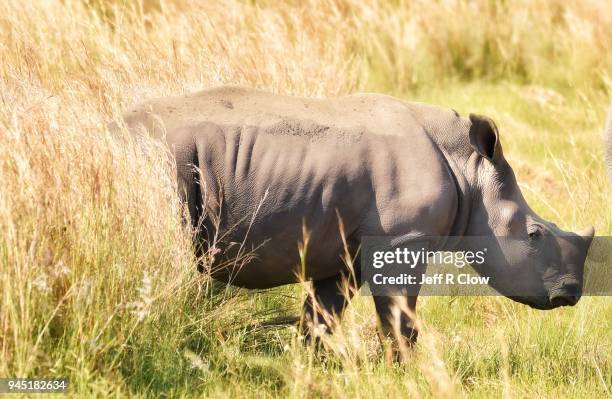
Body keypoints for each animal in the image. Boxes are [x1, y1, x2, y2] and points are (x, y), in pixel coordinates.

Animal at [117, 85, 596, 350]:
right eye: (534, 234)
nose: (571, 294)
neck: (467, 167)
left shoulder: (344, 247)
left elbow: (322, 317)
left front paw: (306, 367)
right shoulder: (404, 239)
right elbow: (400, 320)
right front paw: (405, 372)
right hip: (160, 162)